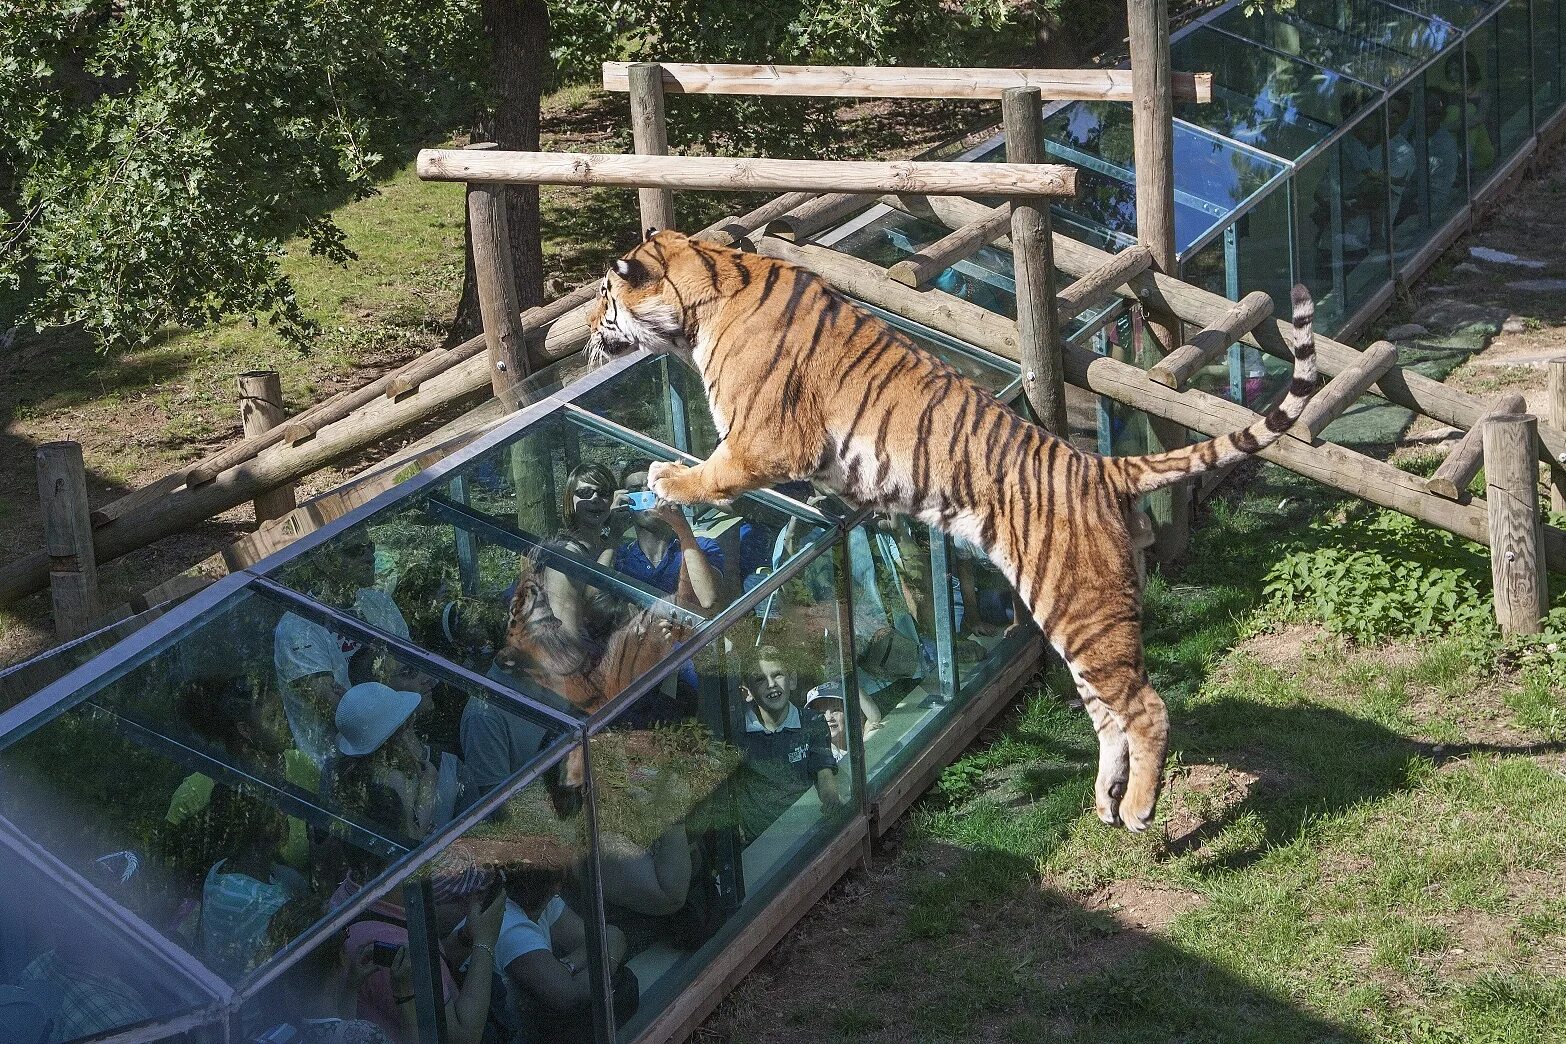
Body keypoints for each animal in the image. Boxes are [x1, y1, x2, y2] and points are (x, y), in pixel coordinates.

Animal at [582, 228, 1315, 832]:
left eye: (605, 298)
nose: (590, 330)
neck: (706, 291)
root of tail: (1099, 465)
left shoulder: (763, 440)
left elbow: (711, 474)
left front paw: (664, 479)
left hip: (1081, 605)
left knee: (1146, 707)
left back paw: (1137, 809)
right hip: (1081, 619)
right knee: (1109, 712)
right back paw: (1105, 801)